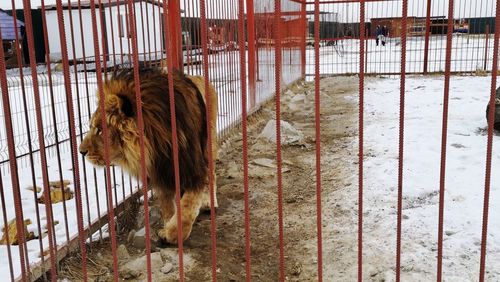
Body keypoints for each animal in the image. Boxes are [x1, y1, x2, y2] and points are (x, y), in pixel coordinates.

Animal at [79, 67, 217, 243]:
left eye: (100, 130)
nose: (81, 151)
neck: (156, 145)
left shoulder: (192, 168)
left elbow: (187, 208)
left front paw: (172, 234)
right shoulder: (160, 173)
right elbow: (167, 206)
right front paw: (168, 224)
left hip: (208, 146)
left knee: (212, 175)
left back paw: (210, 203)